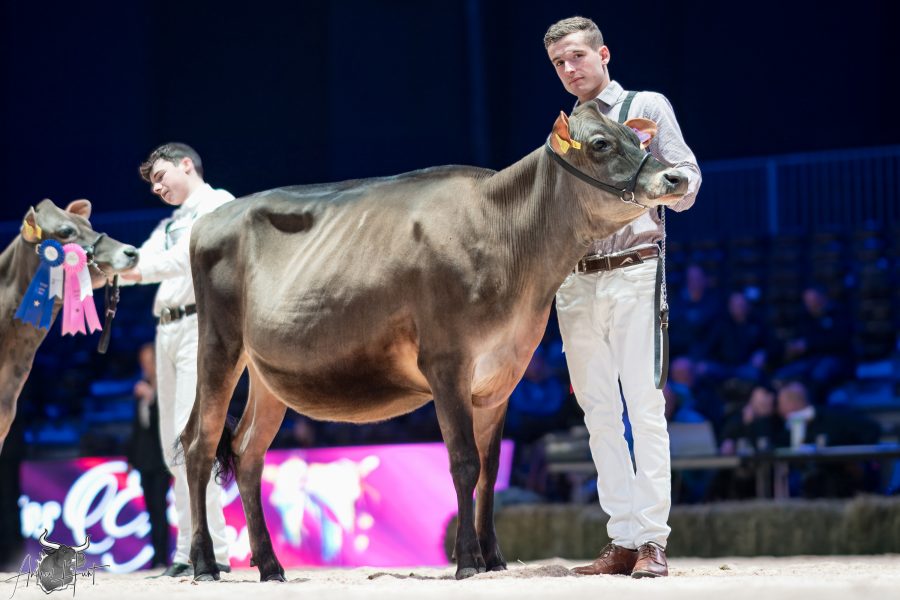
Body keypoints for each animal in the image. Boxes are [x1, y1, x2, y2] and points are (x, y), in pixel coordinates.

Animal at [182, 102, 689, 581]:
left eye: (637, 138)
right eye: (602, 144)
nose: (677, 176)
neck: (507, 235)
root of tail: (209, 220)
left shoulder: (502, 376)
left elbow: (489, 469)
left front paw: (494, 559)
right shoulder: (447, 363)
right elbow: (463, 462)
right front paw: (467, 561)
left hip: (268, 374)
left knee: (248, 453)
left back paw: (271, 566)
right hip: (219, 344)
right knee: (198, 444)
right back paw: (204, 563)